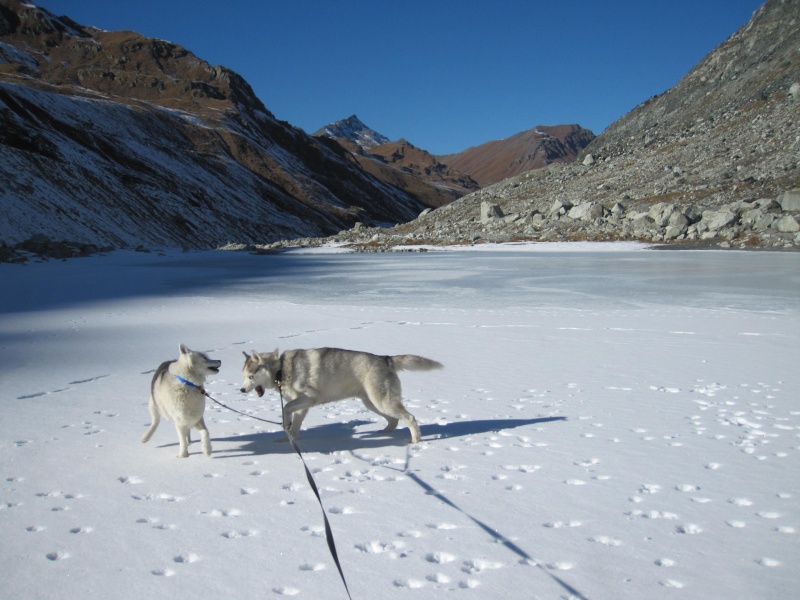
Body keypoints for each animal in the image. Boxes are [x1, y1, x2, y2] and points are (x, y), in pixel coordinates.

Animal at [244, 350, 444, 442]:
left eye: (251, 376)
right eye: (244, 376)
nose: (242, 390)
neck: (281, 369)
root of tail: (385, 358)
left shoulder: (309, 398)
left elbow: (286, 408)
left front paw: (286, 426)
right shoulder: (302, 406)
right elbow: (293, 424)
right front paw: (287, 438)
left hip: (382, 402)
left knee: (410, 418)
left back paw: (415, 441)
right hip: (372, 403)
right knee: (394, 420)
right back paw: (382, 433)